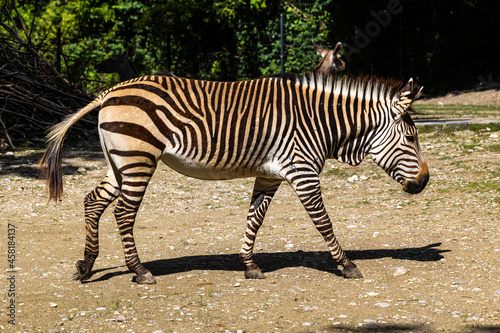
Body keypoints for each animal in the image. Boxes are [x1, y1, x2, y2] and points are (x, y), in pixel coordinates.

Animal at [40, 72, 430, 282]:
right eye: (411, 137)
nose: (425, 182)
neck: (320, 123)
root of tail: (111, 91)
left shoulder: (271, 175)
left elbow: (254, 219)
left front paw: (250, 265)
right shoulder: (302, 170)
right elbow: (324, 222)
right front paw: (347, 265)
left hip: (119, 160)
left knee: (93, 202)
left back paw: (86, 265)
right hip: (138, 158)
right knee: (123, 213)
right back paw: (139, 271)